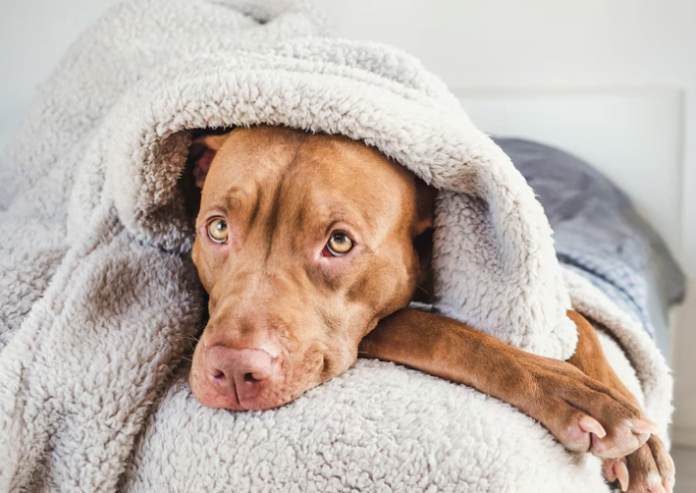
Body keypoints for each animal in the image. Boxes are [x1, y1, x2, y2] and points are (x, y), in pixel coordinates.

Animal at [186, 125, 676, 490]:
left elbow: (575, 320)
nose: (233, 370)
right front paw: (573, 394)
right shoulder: (378, 324)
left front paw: (639, 437)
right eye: (217, 229)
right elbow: (442, 331)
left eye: (339, 242)